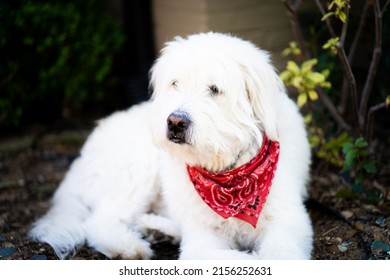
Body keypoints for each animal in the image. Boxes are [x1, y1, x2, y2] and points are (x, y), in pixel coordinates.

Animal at [28, 31, 314, 260]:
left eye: (214, 89)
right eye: (175, 83)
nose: (176, 122)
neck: (227, 174)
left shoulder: (288, 221)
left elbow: (280, 254)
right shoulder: (201, 239)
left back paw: (157, 230)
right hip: (136, 169)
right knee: (100, 221)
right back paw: (128, 245)